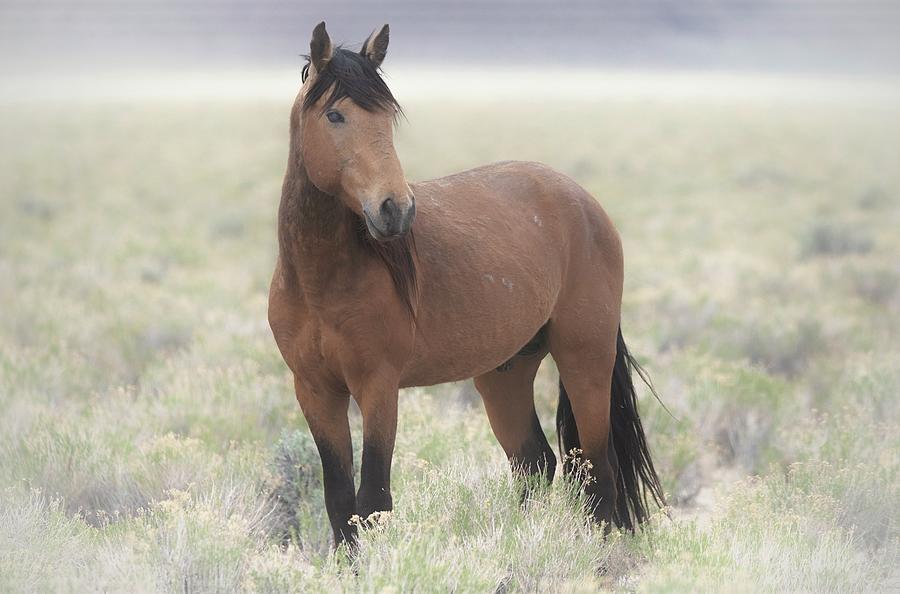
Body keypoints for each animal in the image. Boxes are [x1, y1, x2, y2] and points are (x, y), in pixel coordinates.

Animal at [268, 22, 668, 552]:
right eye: (335, 115)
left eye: (387, 118)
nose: (395, 209)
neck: (320, 282)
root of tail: (586, 203)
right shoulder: (315, 391)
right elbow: (340, 506)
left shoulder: (378, 387)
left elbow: (373, 501)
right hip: (505, 372)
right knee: (535, 463)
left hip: (585, 355)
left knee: (598, 470)